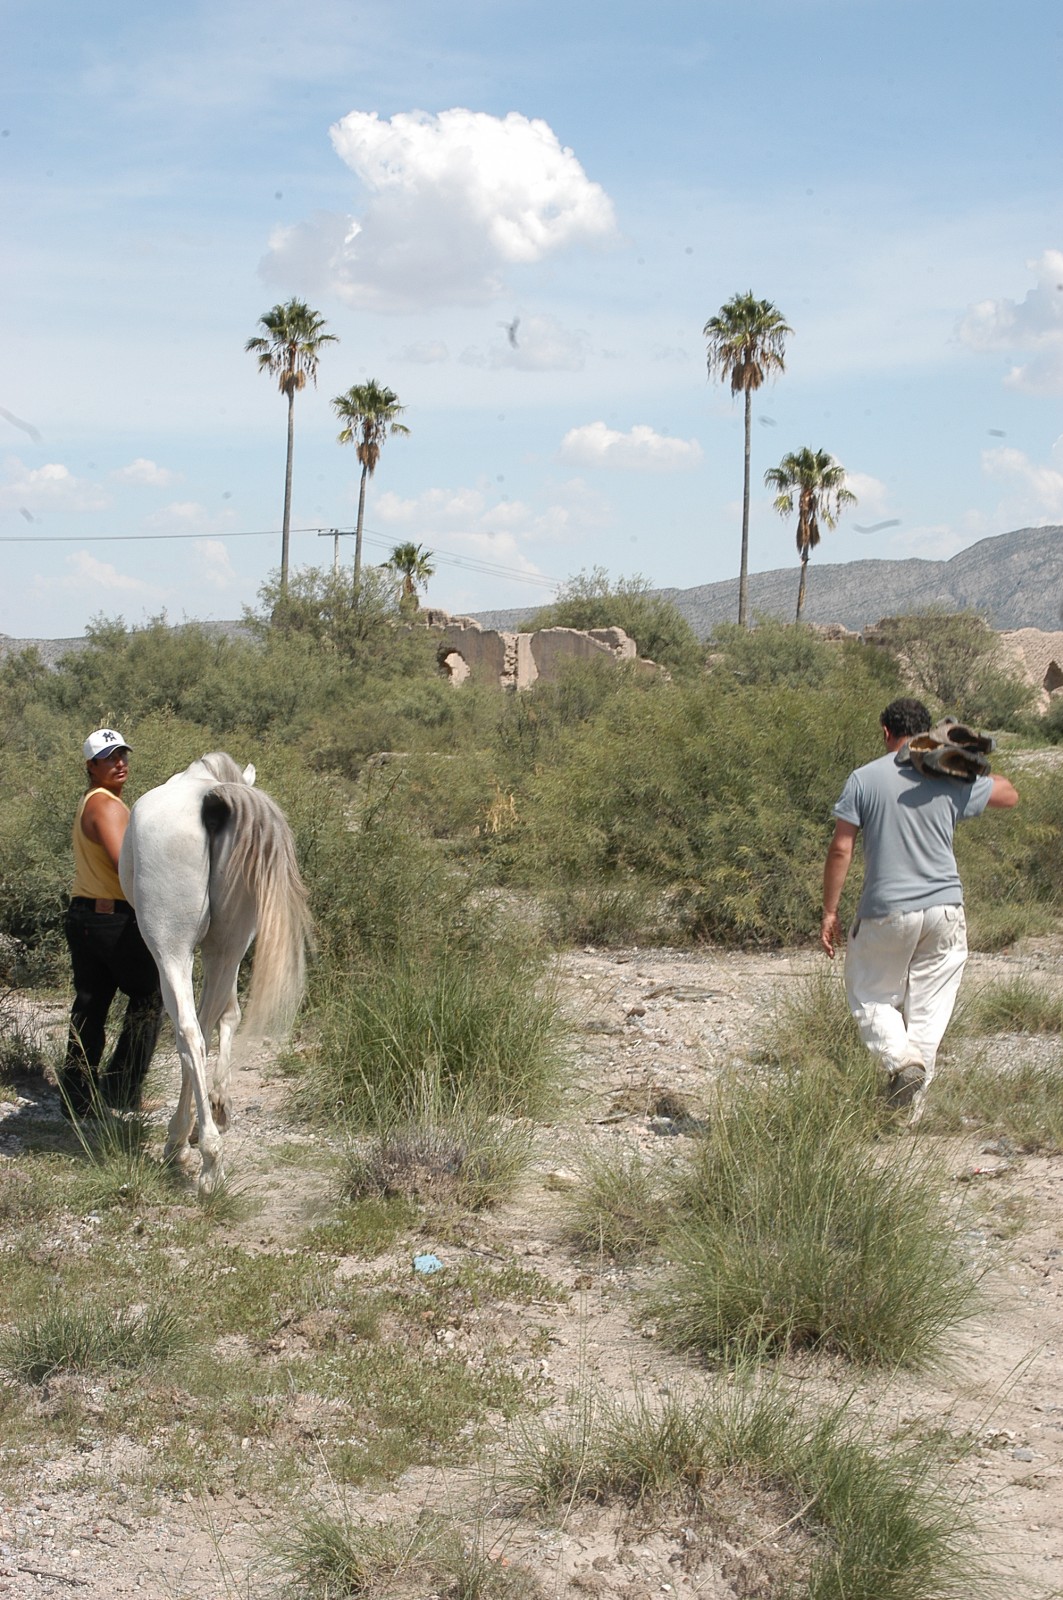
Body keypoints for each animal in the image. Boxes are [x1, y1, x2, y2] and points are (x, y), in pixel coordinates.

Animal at [121, 755, 312, 1196]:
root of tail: (213, 797)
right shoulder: (227, 951)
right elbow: (228, 1016)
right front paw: (220, 1103)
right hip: (227, 947)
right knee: (204, 1028)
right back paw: (196, 1136)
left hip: (171, 948)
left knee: (190, 1033)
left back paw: (197, 1154)